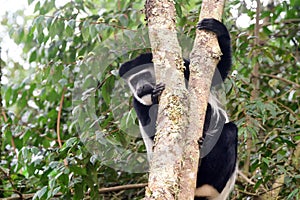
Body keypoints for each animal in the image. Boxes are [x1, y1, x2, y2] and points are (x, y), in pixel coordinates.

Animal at [118, 18, 238, 200]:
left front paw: (217, 28)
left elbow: (218, 73)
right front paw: (155, 96)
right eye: (133, 81)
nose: (141, 89)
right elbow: (154, 131)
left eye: (143, 76)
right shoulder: (137, 103)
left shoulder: (186, 69)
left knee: (229, 130)